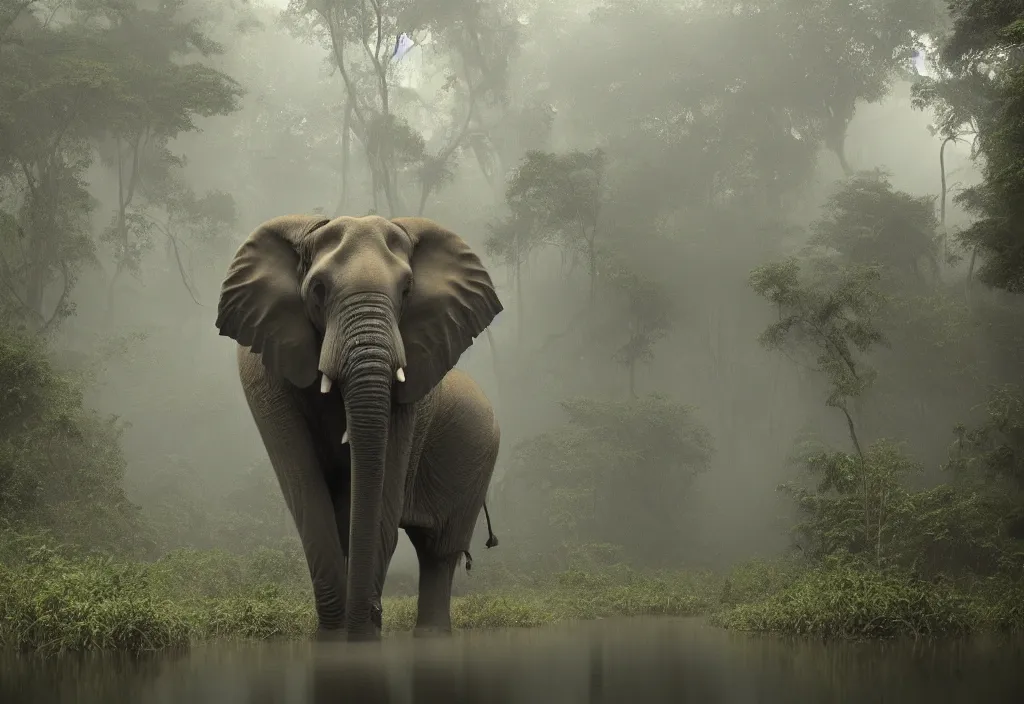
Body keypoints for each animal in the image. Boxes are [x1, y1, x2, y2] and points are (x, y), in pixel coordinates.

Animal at [216, 212, 503, 638]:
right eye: (318, 289)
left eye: (407, 290)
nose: (370, 613)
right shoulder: (263, 373)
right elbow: (307, 493)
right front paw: (336, 638)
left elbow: (382, 491)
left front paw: (361, 637)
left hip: (473, 456)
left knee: (440, 551)